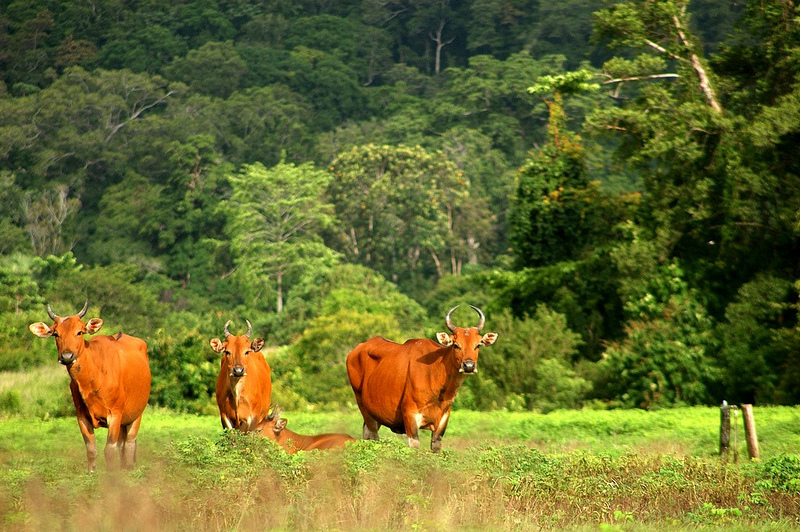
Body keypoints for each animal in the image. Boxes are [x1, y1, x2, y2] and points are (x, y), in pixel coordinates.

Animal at [28, 302, 152, 472]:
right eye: (56, 334)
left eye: (79, 332)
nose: (67, 356)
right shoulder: (82, 417)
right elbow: (91, 449)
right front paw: (91, 474)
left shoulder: (115, 414)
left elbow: (109, 450)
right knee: (122, 445)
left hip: (137, 414)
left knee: (129, 445)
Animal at [346, 306, 496, 450]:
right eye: (456, 345)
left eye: (478, 345)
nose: (469, 366)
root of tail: (355, 351)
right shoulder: (410, 416)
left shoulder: (442, 420)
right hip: (364, 407)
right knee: (372, 436)